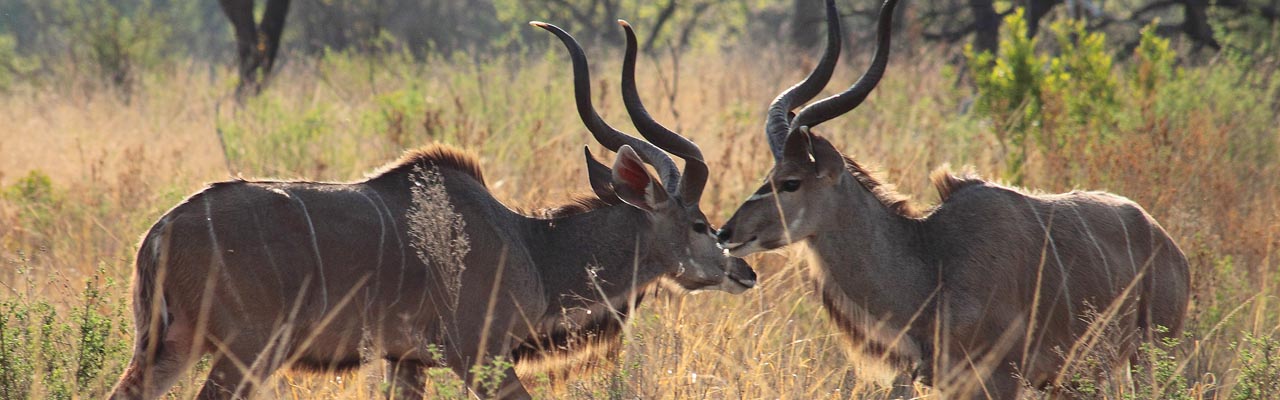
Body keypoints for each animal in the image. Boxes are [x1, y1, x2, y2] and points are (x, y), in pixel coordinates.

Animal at [110, 22, 752, 400]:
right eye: (699, 223)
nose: (743, 270)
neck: (532, 246)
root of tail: (160, 232)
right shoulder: (481, 357)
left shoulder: (406, 362)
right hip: (245, 352)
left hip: (172, 346)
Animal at [721, 0, 1187, 397]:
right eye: (770, 175)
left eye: (791, 182)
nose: (726, 233)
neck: (933, 261)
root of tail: (1167, 243)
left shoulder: (1000, 379)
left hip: (1149, 356)